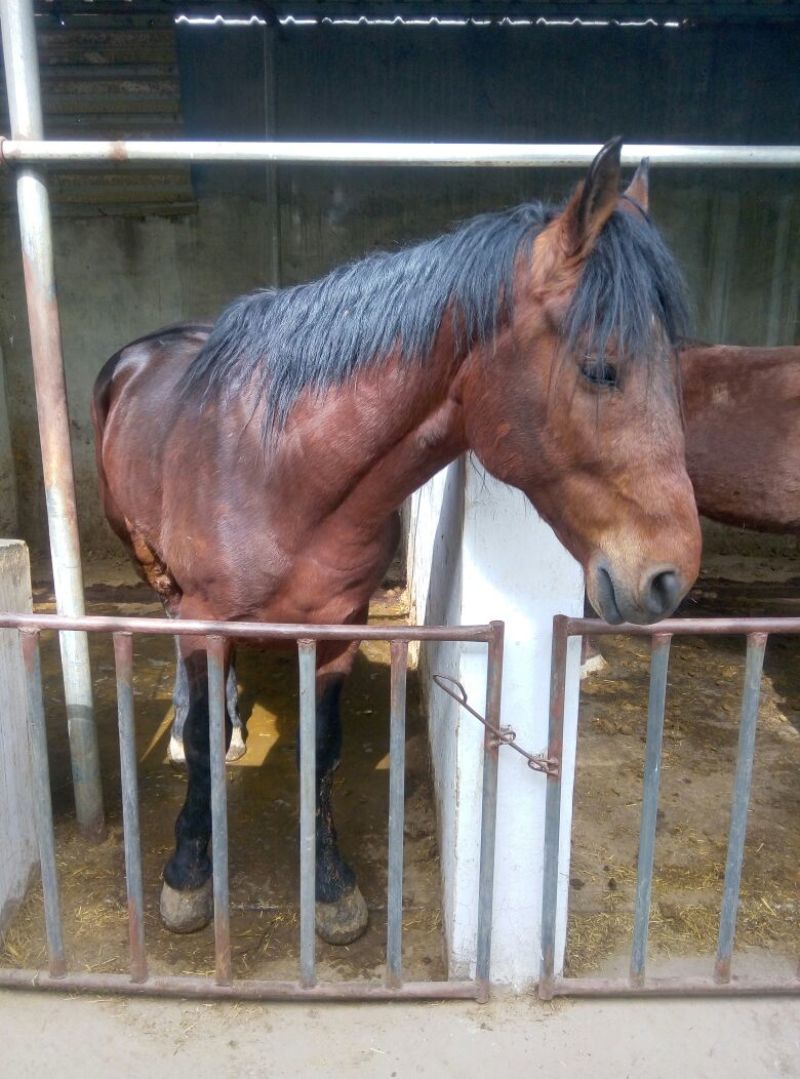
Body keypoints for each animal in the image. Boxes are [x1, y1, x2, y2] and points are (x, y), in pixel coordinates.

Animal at [92, 138, 701, 944]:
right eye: (601, 368)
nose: (672, 575)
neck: (274, 469)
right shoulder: (206, 617)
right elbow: (199, 746)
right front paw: (188, 871)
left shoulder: (338, 625)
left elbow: (322, 750)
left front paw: (330, 886)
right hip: (159, 577)